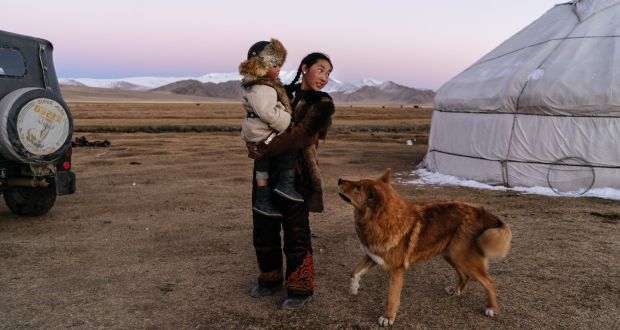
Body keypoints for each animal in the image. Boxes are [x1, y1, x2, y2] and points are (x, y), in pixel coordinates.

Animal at [340, 169, 508, 326]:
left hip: (462, 257)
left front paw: (388, 317)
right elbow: (353, 272)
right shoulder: (373, 256)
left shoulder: (396, 270)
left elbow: (391, 297)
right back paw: (456, 290)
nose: (340, 180)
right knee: (465, 275)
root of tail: (480, 211)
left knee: (489, 282)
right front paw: (354, 288)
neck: (381, 220)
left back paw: (492, 308)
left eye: (358, 187)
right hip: (451, 255)